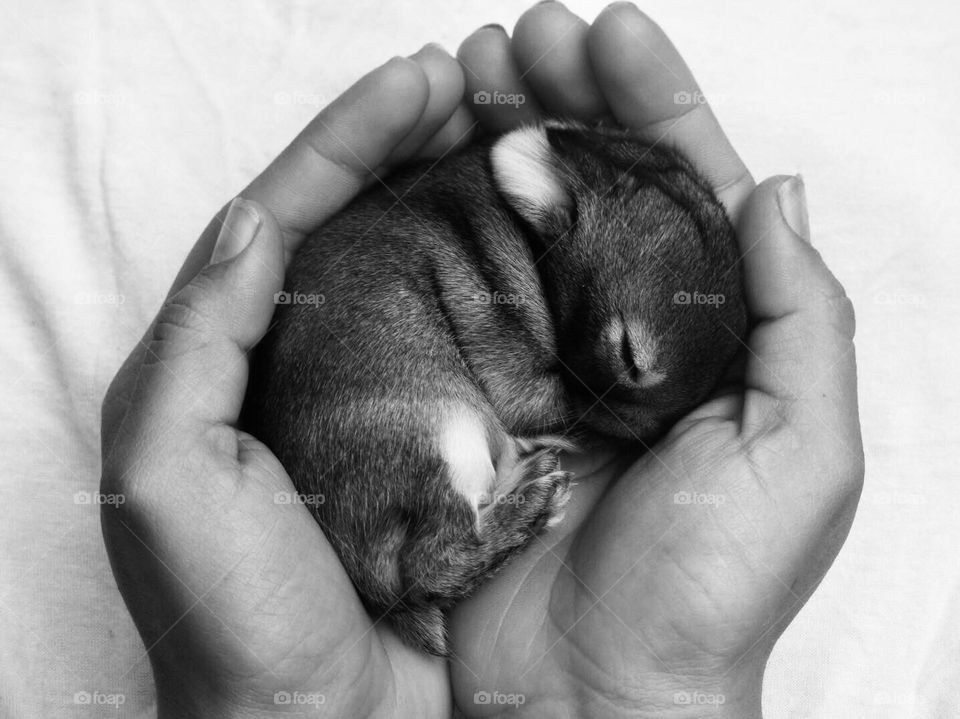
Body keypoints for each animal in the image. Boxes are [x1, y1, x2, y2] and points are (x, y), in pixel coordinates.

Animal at [244, 119, 748, 656]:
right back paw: (533, 501)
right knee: (430, 564)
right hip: (443, 431)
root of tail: (371, 584)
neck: (530, 242)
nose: (626, 437)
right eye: (627, 353)